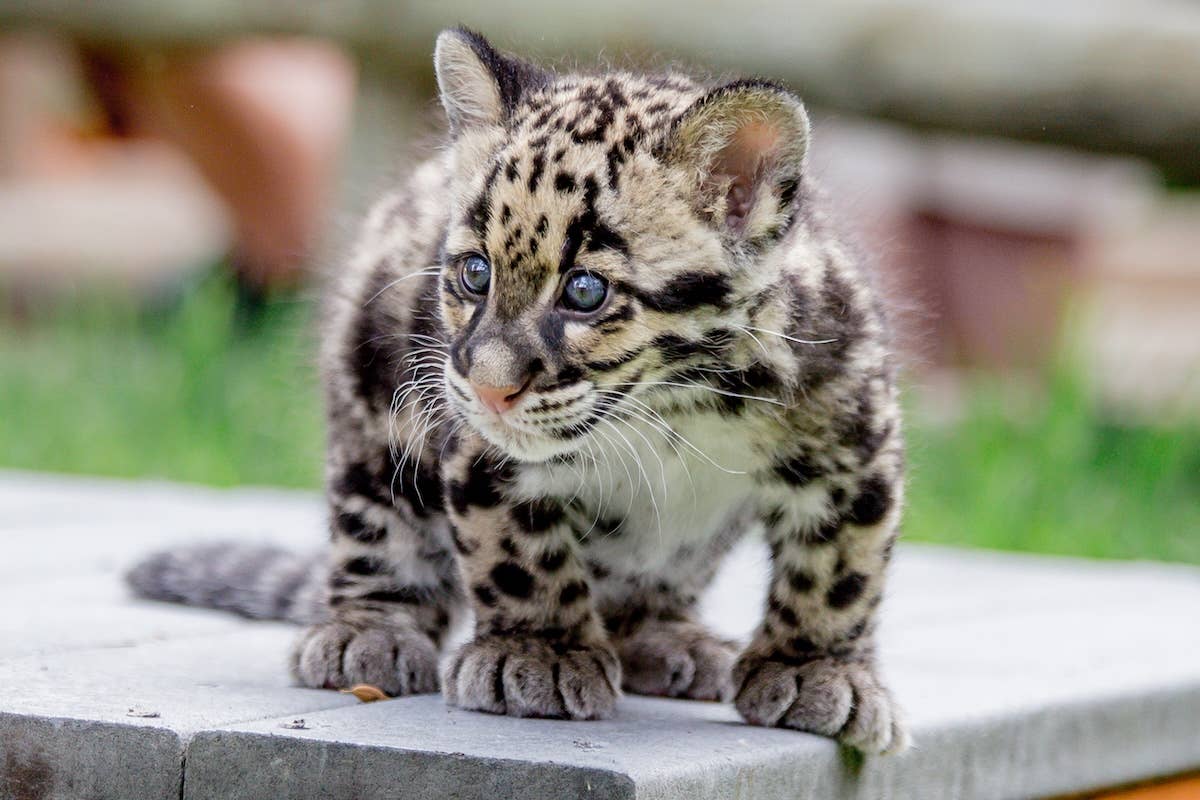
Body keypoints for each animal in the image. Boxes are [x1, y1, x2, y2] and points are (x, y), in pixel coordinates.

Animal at [127, 27, 908, 754]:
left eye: (586, 291)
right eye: (475, 274)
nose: (489, 387)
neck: (677, 408)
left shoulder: (855, 447)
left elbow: (840, 570)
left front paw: (817, 669)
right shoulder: (482, 454)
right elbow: (519, 553)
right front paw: (539, 652)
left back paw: (667, 638)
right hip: (370, 397)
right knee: (372, 524)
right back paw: (368, 632)